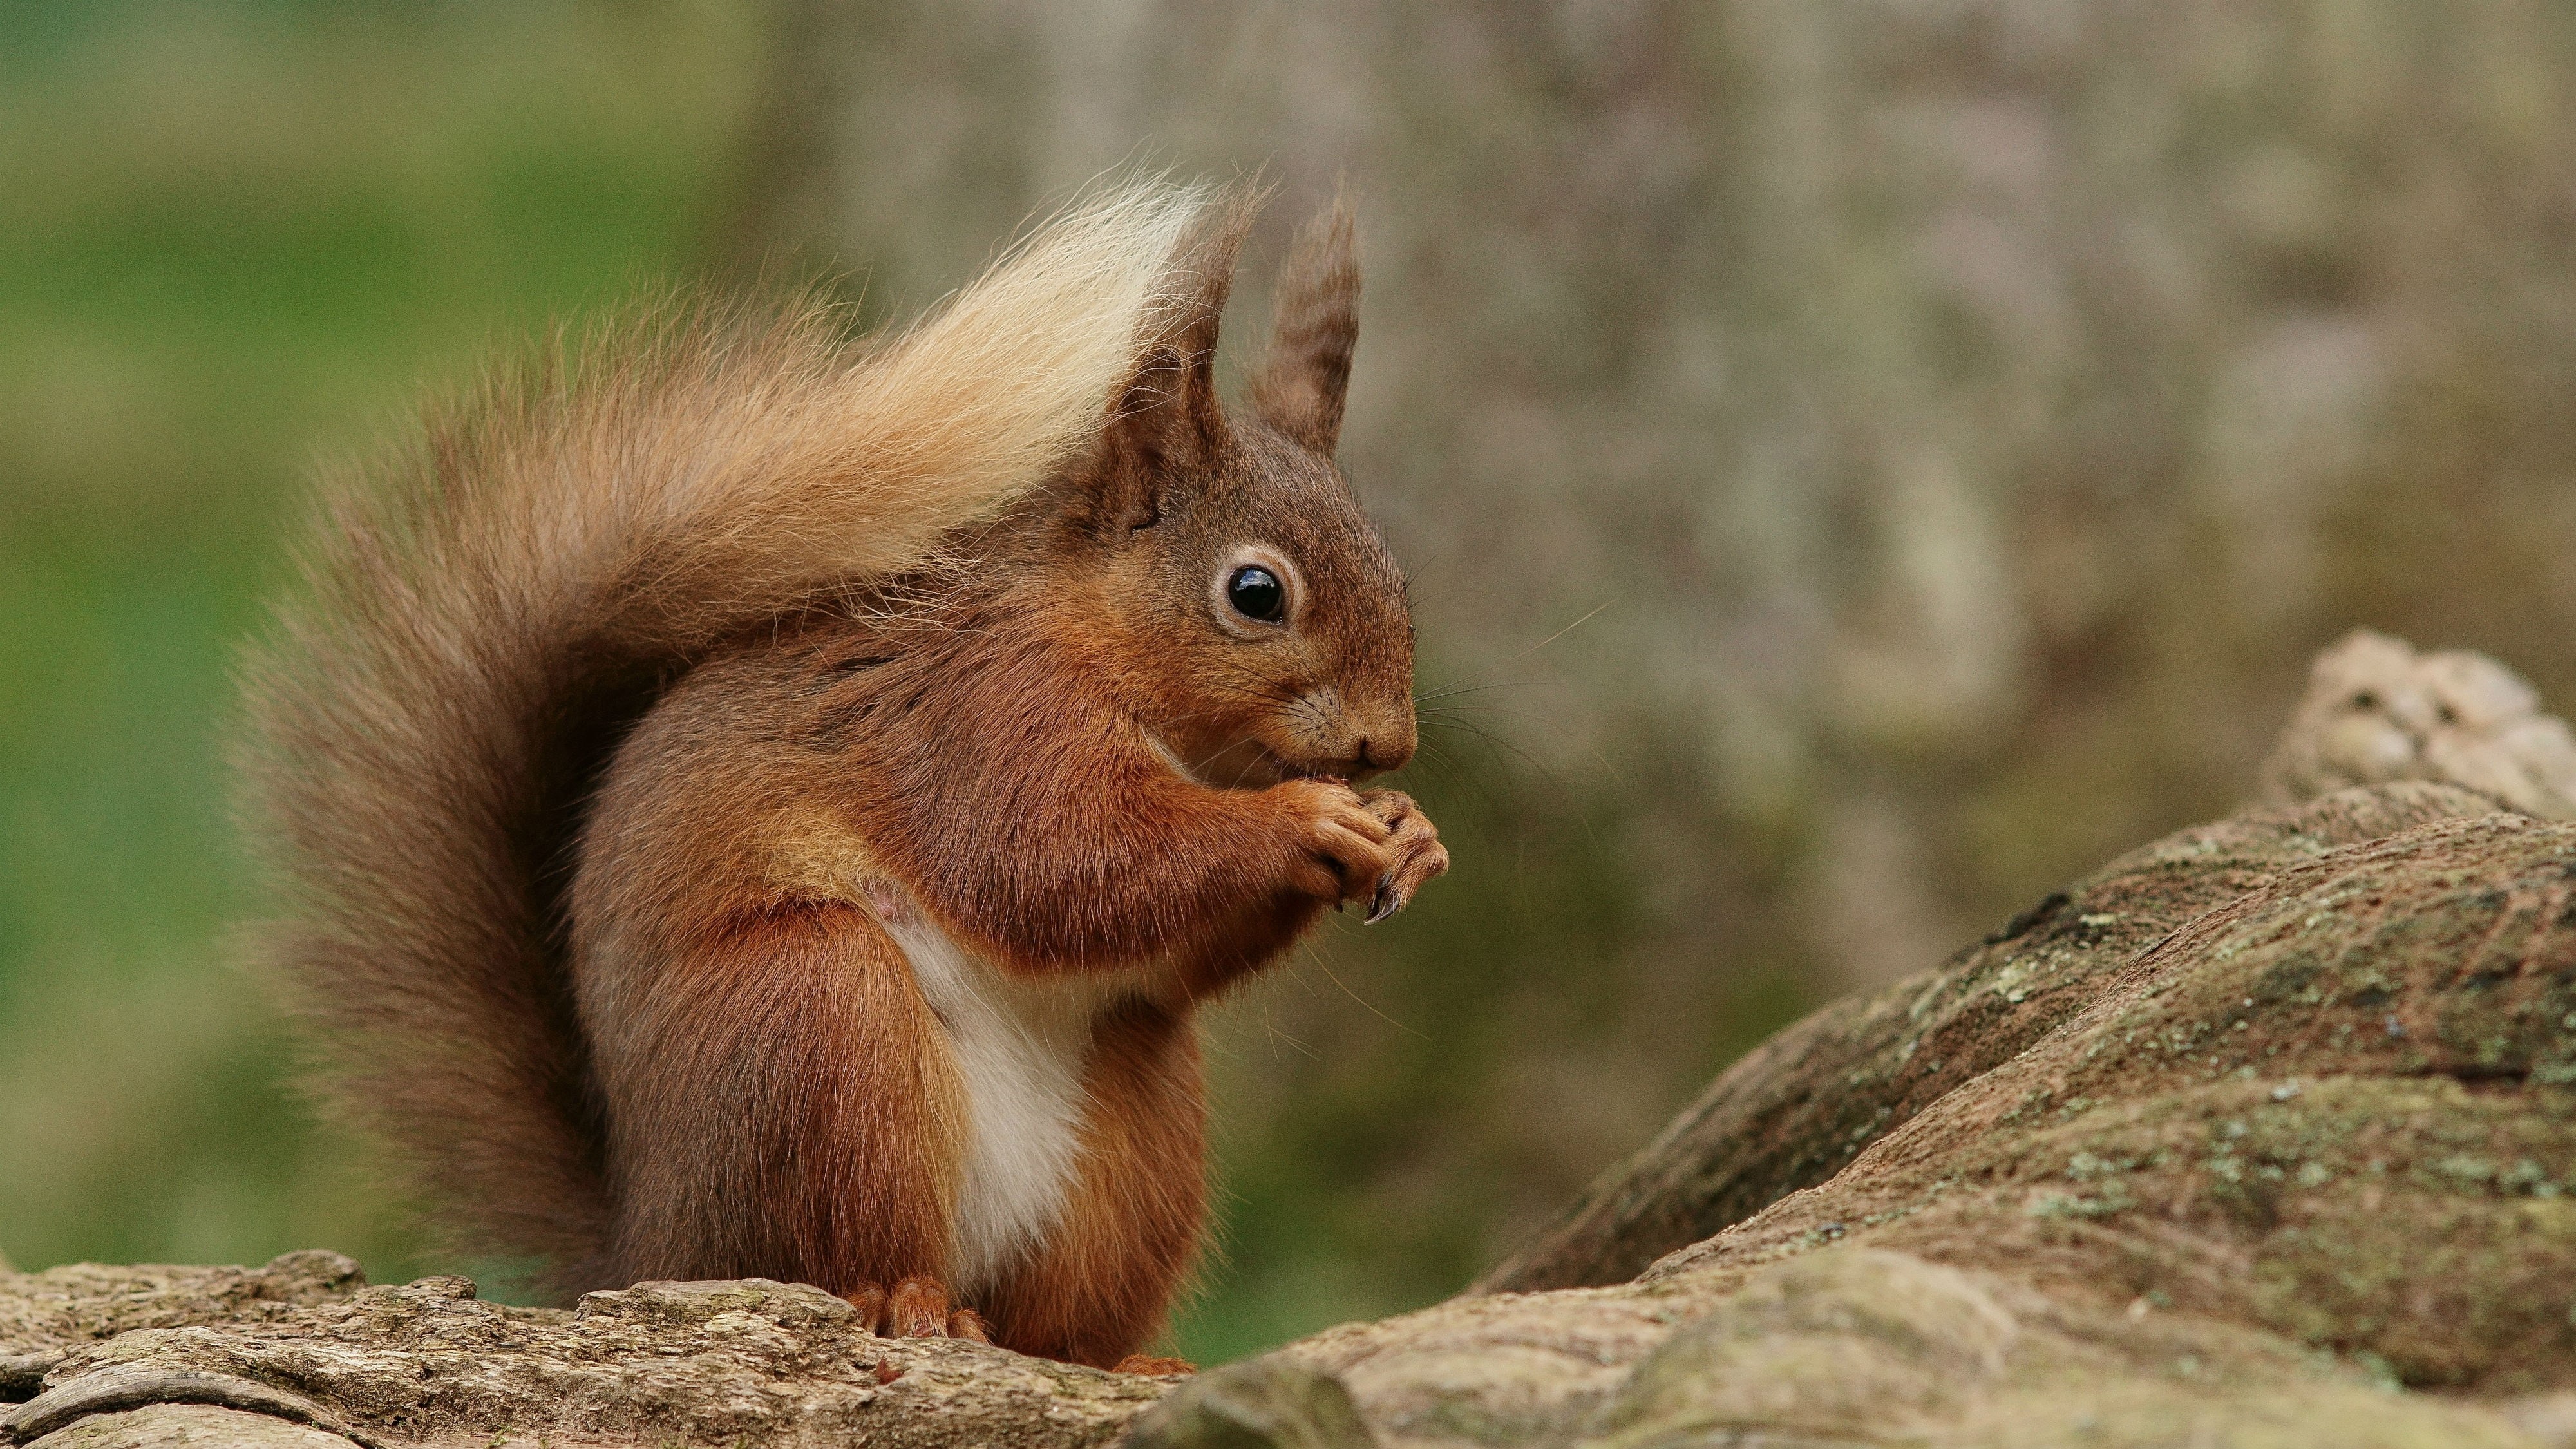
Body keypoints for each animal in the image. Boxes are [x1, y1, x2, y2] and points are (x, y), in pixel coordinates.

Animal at [237, 182, 1447, 1373]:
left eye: (1397, 576)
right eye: (1256, 593)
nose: (1388, 744)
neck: (1103, 645)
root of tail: (647, 1244)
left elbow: (1160, 943)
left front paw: (1412, 834)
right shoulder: (984, 721)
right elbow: (1058, 866)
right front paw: (1303, 822)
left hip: (1135, 1113)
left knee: (1054, 1308)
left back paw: (1121, 1360)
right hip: (815, 1021)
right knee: (824, 1253)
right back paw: (899, 1299)